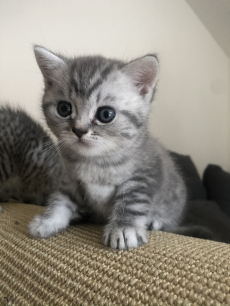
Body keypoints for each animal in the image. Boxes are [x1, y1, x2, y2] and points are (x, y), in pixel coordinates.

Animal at [28, 46, 187, 250]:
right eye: (64, 109)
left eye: (105, 114)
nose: (79, 130)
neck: (95, 161)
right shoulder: (70, 180)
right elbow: (61, 199)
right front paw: (49, 220)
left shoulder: (145, 174)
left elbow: (132, 201)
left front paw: (124, 228)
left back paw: (154, 221)